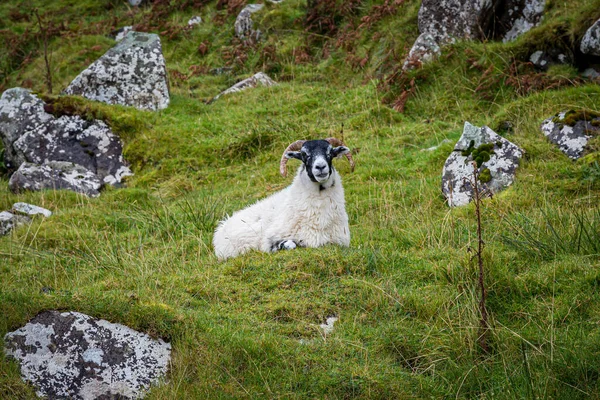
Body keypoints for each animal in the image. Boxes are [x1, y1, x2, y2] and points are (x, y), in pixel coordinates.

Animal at [213, 138, 354, 260]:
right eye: (304, 154)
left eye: (330, 152)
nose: (320, 167)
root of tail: (222, 226)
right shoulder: (269, 239)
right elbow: (290, 244)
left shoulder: (339, 240)